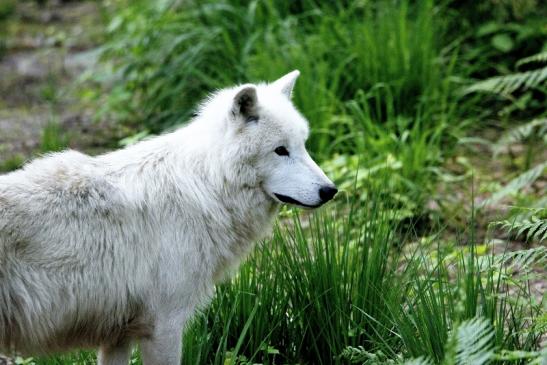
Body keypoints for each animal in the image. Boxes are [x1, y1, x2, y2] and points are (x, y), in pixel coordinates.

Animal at [0, 69, 336, 362]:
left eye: (302, 146)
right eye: (280, 151)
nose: (330, 190)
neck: (206, 185)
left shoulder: (118, 336)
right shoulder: (164, 326)